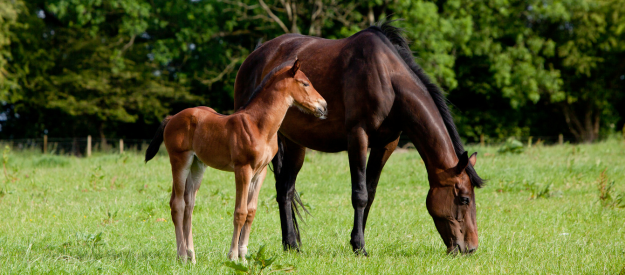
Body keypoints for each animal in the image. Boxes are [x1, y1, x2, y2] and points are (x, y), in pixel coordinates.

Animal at [143, 59, 324, 264]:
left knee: (189, 205)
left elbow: (251, 212)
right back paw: (181, 255)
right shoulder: (243, 170)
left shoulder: (260, 172)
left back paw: (192, 256)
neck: (259, 126)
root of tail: (172, 117)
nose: (323, 106)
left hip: (197, 165)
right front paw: (233, 256)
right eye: (305, 83)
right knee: (178, 204)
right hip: (180, 161)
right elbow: (240, 212)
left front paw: (244, 256)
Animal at [233, 22, 482, 256]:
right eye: (464, 199)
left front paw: (356, 242)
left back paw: (291, 244)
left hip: (295, 144)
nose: (470, 248)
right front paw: (360, 246)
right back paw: (289, 244)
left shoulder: (386, 144)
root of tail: (254, 55)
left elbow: (370, 193)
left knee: (285, 189)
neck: (387, 78)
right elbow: (359, 194)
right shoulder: (358, 137)